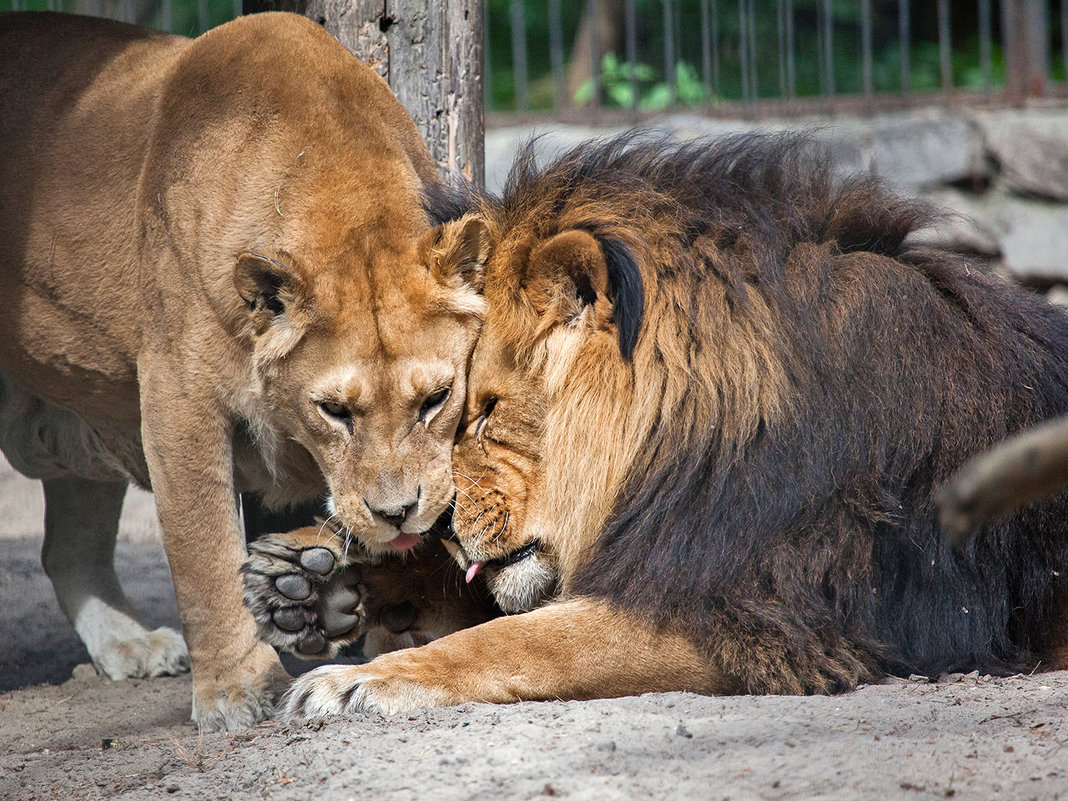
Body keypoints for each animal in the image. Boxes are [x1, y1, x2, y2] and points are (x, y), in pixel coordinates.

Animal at [0, 10, 489, 734]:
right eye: (334, 411)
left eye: (435, 399)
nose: (399, 512)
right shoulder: (175, 397)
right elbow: (204, 550)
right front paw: (238, 689)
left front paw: (331, 603)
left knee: (67, 547)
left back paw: (129, 644)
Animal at [249, 135, 1068, 717]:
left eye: (482, 411)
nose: (441, 524)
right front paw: (314, 575)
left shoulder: (754, 611)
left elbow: (521, 639)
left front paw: (354, 677)